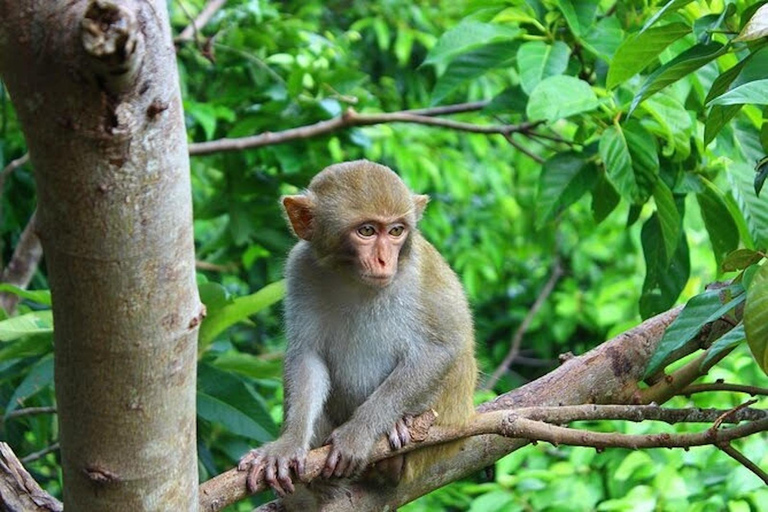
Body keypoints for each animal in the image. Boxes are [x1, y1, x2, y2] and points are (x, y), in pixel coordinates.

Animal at [237, 161, 476, 508]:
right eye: (367, 231)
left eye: (396, 231)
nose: (384, 260)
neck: (350, 276)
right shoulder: (301, 267)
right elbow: (307, 356)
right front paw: (288, 444)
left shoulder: (421, 268)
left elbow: (442, 349)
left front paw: (359, 433)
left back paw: (396, 443)